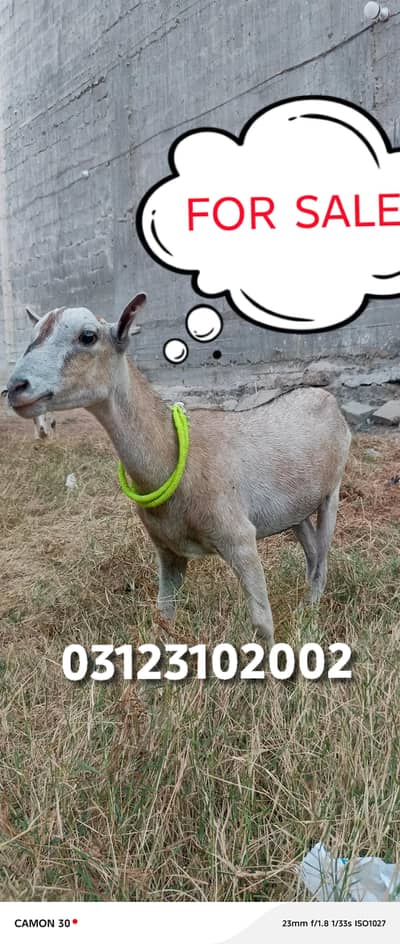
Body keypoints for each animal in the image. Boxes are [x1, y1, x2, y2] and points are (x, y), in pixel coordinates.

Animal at [6, 294, 351, 645]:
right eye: (34, 332)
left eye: (88, 336)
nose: (16, 387)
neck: (175, 458)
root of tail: (323, 395)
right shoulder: (167, 549)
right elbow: (163, 617)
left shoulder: (239, 537)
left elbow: (262, 623)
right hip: (295, 507)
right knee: (311, 550)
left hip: (332, 490)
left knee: (322, 558)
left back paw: (310, 614)